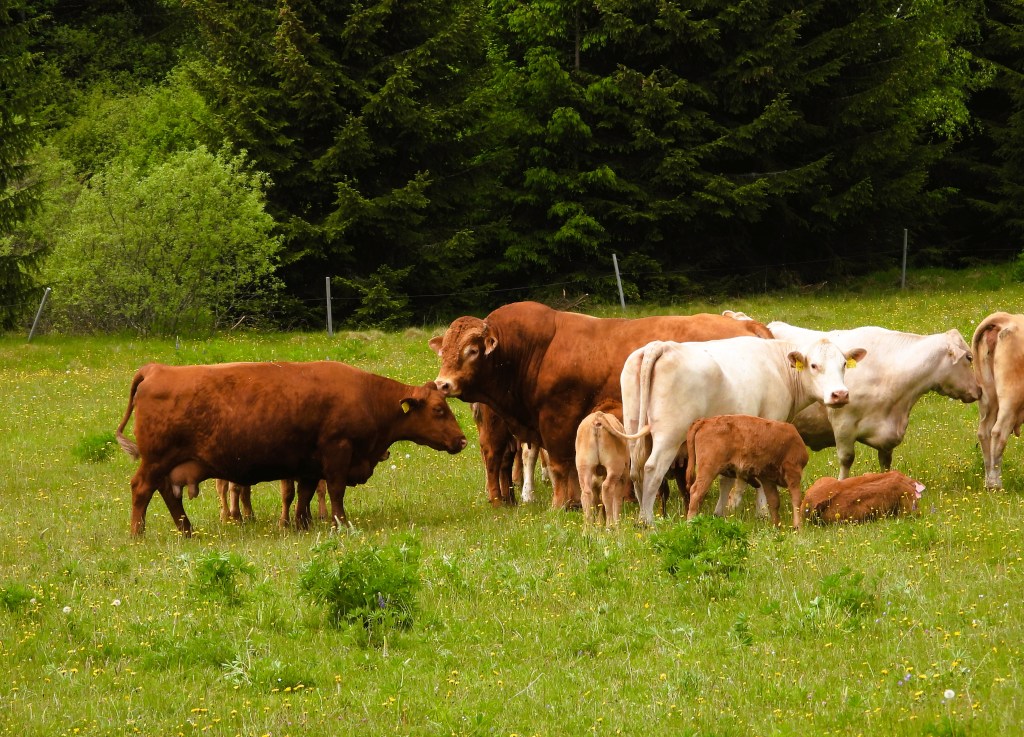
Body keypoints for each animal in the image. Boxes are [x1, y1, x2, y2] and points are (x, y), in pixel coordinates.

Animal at [115, 361, 467, 536]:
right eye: (439, 409)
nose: (462, 440)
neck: (367, 395)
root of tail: (156, 369)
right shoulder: (337, 452)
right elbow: (335, 492)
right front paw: (341, 523)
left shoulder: (310, 464)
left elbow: (305, 494)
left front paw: (302, 524)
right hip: (155, 461)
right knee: (141, 489)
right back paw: (138, 534)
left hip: (168, 465)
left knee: (168, 494)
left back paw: (186, 530)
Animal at [428, 301, 772, 511]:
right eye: (443, 351)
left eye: (472, 350)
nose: (442, 383)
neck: (533, 350)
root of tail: (748, 325)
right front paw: (574, 502)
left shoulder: (557, 418)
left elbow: (559, 466)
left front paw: (560, 504)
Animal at [621, 336, 866, 526]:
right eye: (814, 365)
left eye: (844, 364)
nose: (840, 394)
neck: (778, 366)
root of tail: (661, 345)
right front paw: (763, 512)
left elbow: (726, 479)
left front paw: (720, 513)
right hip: (669, 435)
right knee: (652, 469)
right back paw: (648, 520)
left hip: (634, 425)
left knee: (636, 470)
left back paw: (641, 517)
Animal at [767, 321, 980, 480]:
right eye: (969, 357)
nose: (979, 390)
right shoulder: (843, 423)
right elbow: (846, 459)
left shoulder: (887, 438)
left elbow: (885, 463)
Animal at [973, 311, 1024, 489]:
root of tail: (1006, 318)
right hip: (1011, 398)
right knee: (998, 431)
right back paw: (995, 484)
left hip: (988, 397)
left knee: (984, 432)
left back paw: (990, 482)